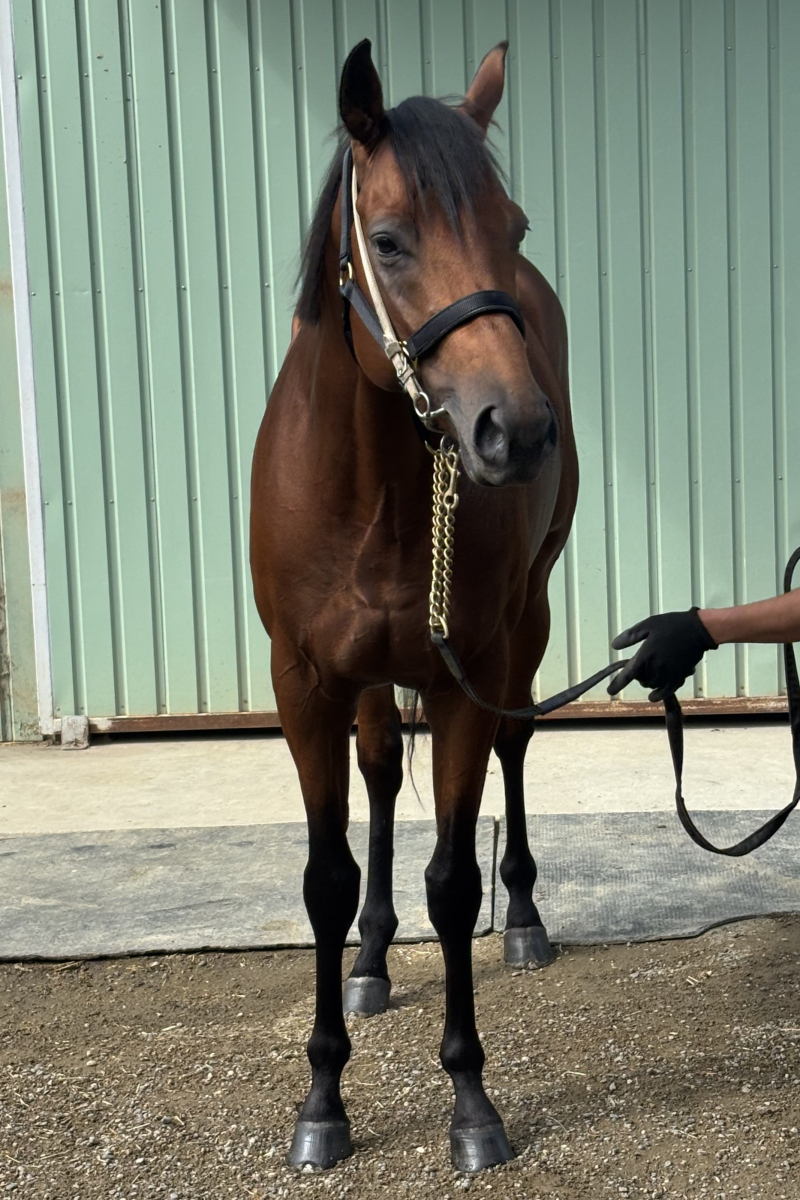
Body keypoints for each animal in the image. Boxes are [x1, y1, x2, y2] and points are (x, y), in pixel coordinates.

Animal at [250, 39, 578, 1172]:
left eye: (513, 228)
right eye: (386, 241)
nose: (515, 432)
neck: (378, 490)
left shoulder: (466, 672)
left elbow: (453, 880)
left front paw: (471, 1102)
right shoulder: (303, 684)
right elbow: (325, 877)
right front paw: (321, 1100)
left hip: (528, 625)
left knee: (516, 749)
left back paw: (523, 920)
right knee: (382, 773)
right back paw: (371, 959)